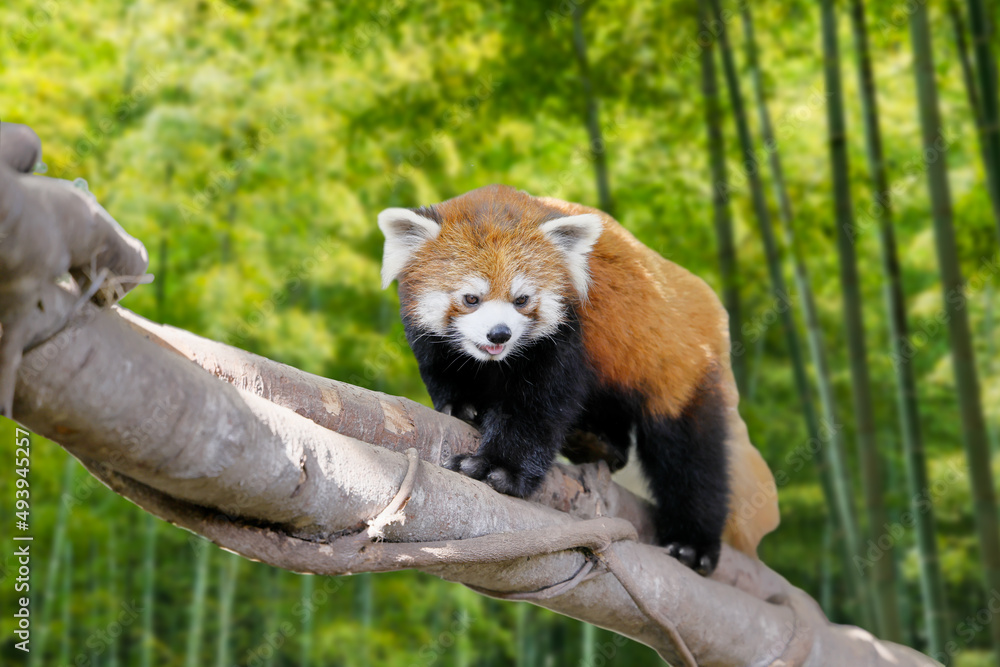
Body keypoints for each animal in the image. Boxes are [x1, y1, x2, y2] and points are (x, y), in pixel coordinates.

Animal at [378, 184, 776, 576]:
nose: (499, 334)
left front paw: (500, 468)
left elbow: (539, 406)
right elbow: (443, 369)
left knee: (690, 454)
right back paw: (597, 442)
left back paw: (692, 543)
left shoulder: (570, 332)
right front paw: (462, 405)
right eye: (471, 298)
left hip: (678, 368)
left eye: (522, 299)